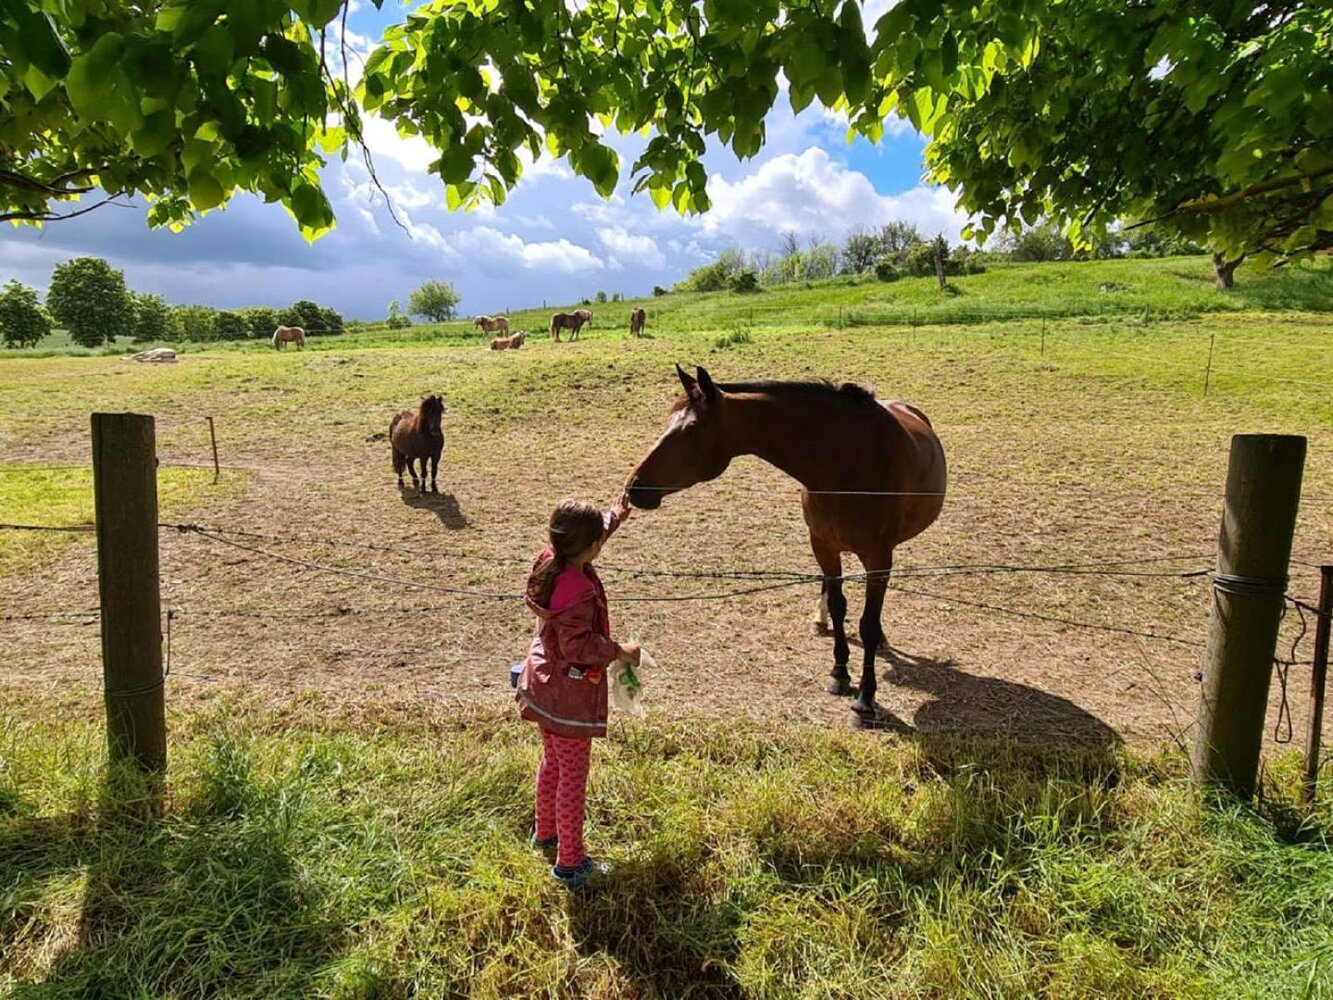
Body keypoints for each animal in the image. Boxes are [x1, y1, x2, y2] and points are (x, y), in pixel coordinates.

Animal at [625, 365, 946, 718]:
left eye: (691, 430)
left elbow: (868, 625)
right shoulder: (823, 545)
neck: (848, 460)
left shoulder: (878, 558)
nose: (634, 487)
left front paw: (865, 698)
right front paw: (839, 673)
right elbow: (839, 606)